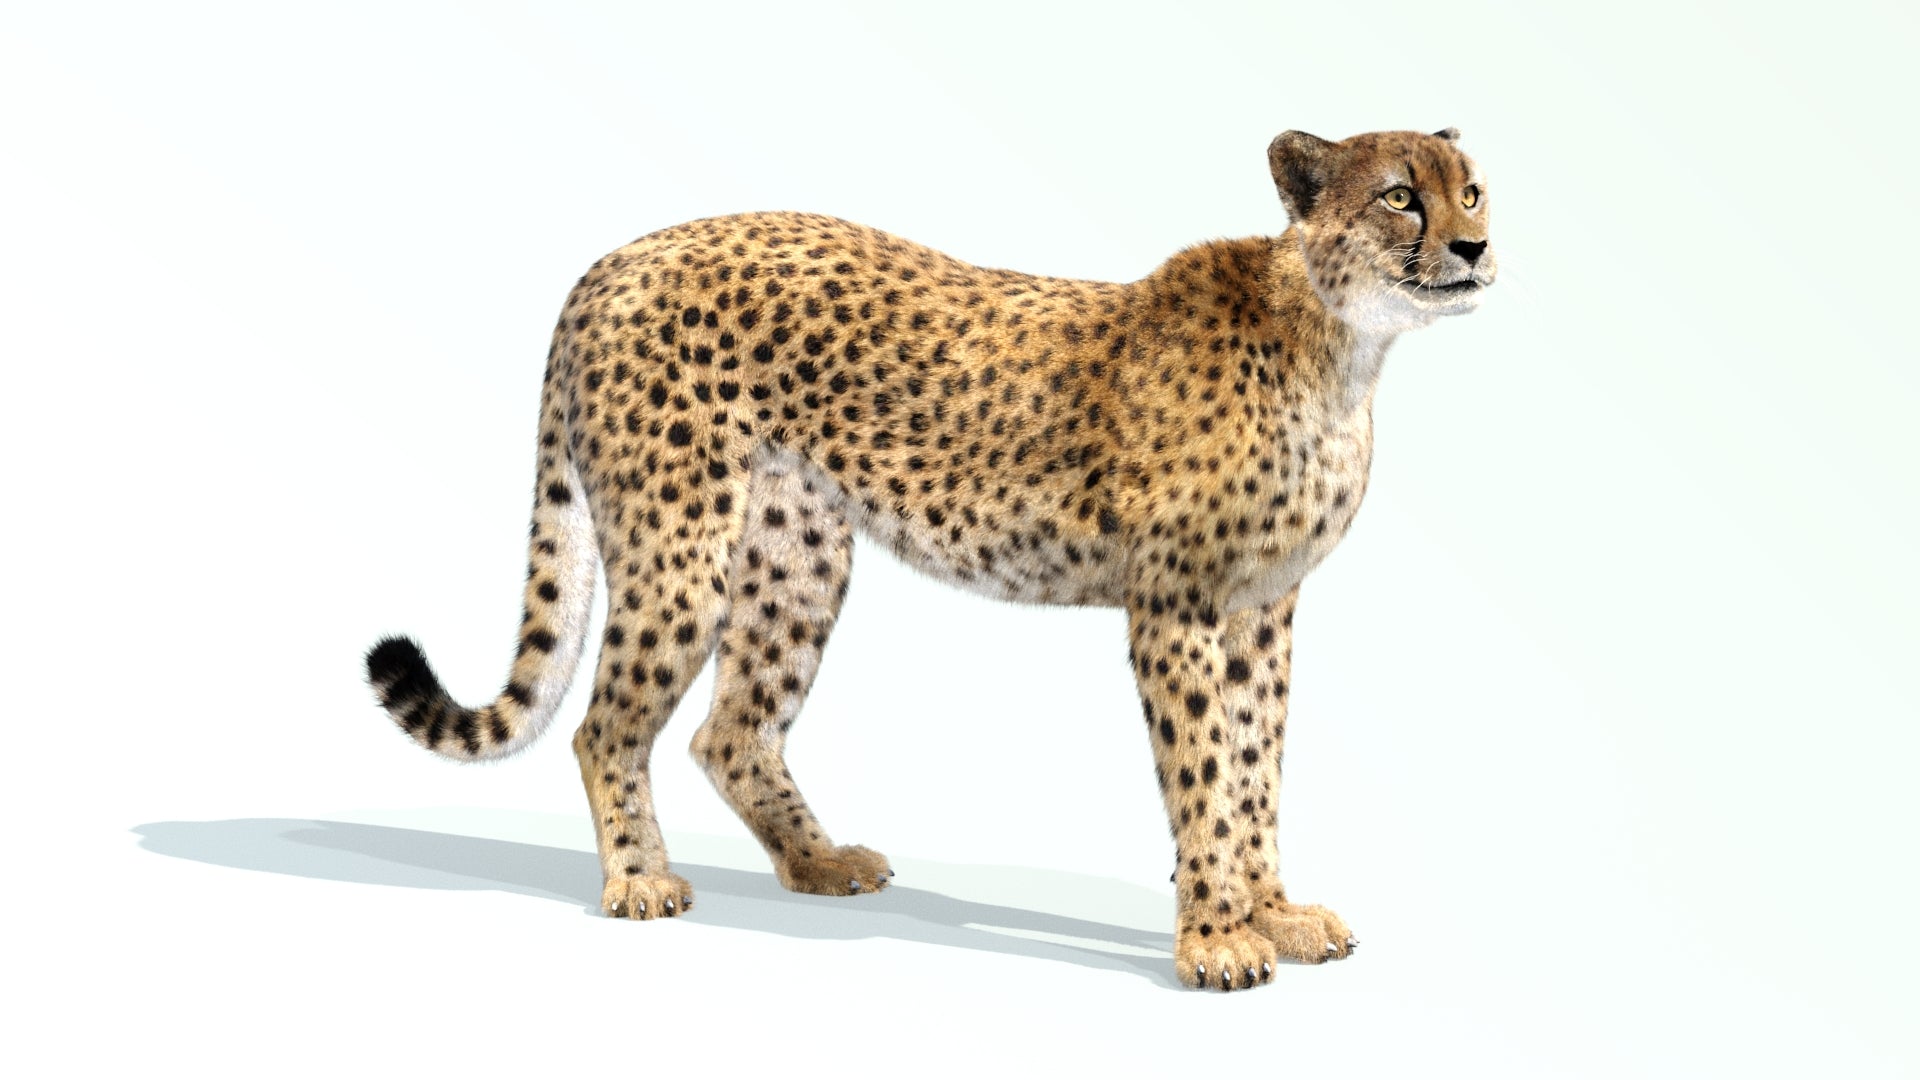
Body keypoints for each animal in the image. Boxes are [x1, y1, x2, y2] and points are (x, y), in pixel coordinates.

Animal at [365, 127, 1495, 990]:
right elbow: (1207, 772)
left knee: (730, 730)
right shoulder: (1175, 605)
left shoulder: (1264, 607)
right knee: (606, 726)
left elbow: (1258, 768)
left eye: (1472, 186)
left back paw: (817, 860)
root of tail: (615, 259)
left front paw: (1275, 912)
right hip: (680, 543)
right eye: (1401, 197)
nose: (1478, 245)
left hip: (798, 554)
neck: (1340, 349)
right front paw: (1219, 938)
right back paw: (640, 879)